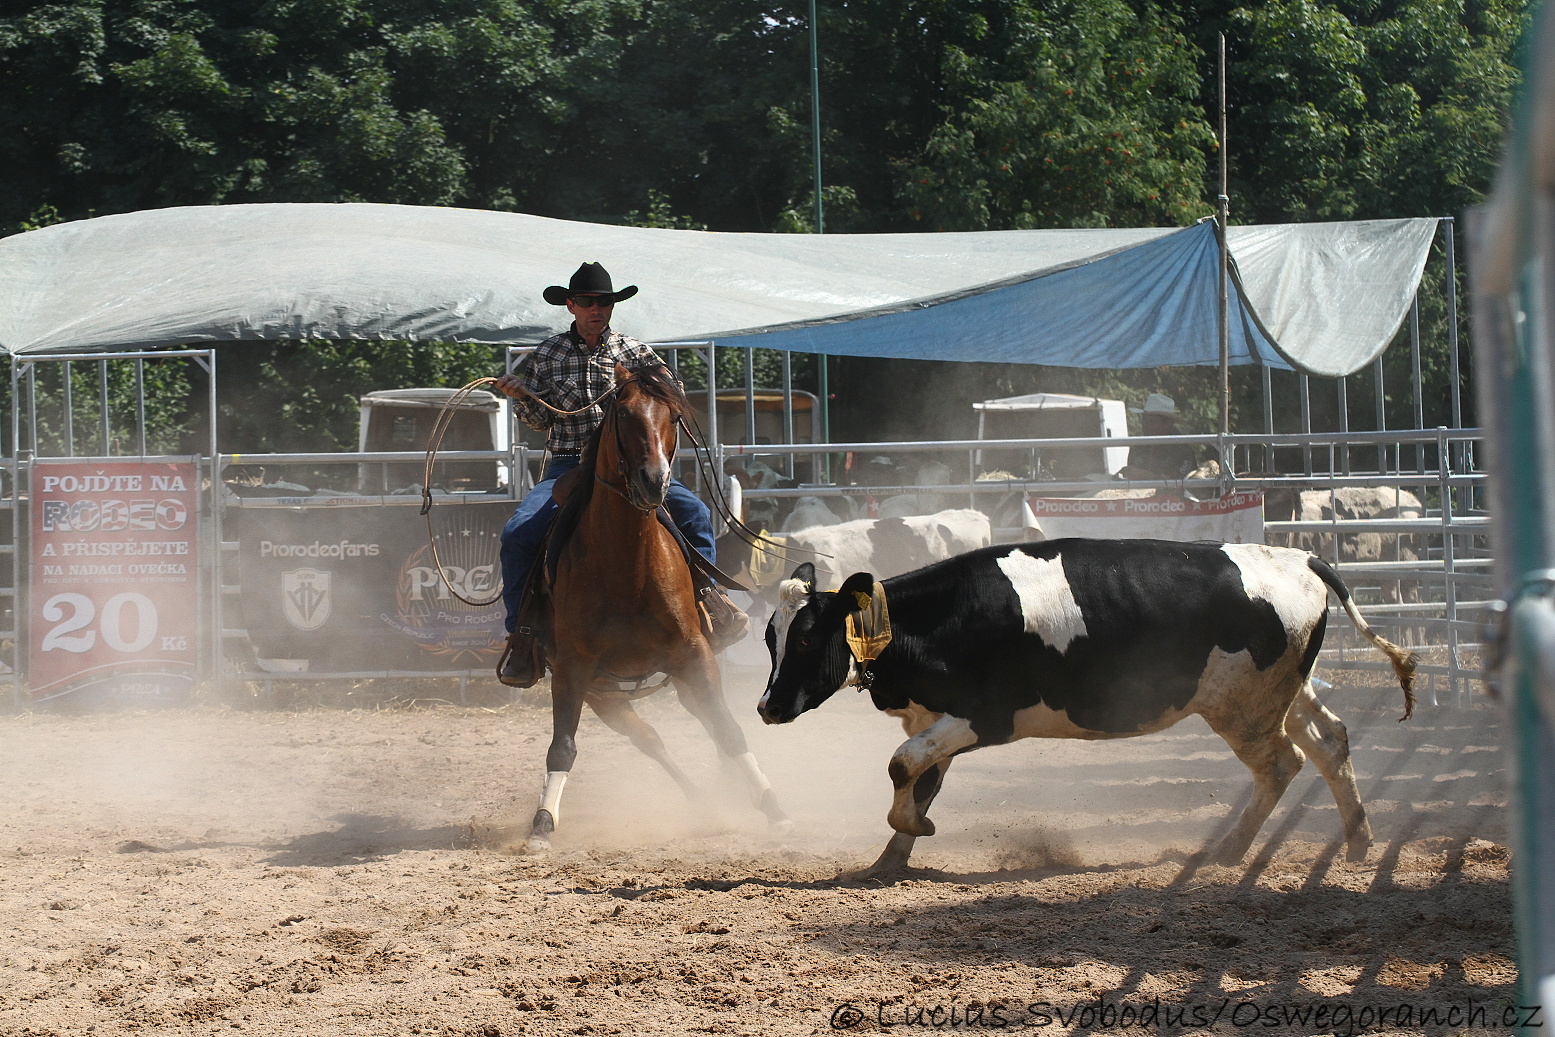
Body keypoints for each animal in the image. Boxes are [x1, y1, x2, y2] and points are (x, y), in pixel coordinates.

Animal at [525, 363, 789, 851]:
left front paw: (774, 810)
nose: (653, 481)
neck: (626, 566)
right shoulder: (573, 667)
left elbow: (729, 728)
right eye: (624, 414)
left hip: (678, 675)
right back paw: (702, 799)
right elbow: (562, 746)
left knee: (707, 724)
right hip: (604, 694)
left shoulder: (694, 653)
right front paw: (543, 824)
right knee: (649, 740)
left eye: (674, 416)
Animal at [755, 541, 1424, 883]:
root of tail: (1299, 558)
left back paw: (1232, 850)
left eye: (808, 637)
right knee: (1330, 741)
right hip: (1287, 691)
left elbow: (900, 765)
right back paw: (1358, 841)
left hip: (1247, 707)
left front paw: (911, 832)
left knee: (1281, 765)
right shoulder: (934, 720)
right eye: (770, 637)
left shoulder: (983, 718)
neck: (936, 620)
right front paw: (891, 856)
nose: (767, 706)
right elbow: (920, 779)